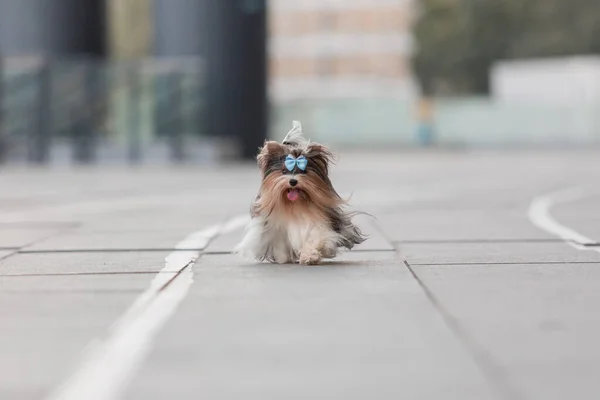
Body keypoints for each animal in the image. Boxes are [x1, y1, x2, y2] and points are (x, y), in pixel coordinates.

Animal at [234, 120, 366, 264]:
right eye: (283, 171)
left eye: (303, 171)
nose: (293, 181)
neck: (295, 205)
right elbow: (280, 248)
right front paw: (285, 257)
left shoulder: (318, 225)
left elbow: (316, 238)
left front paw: (310, 256)